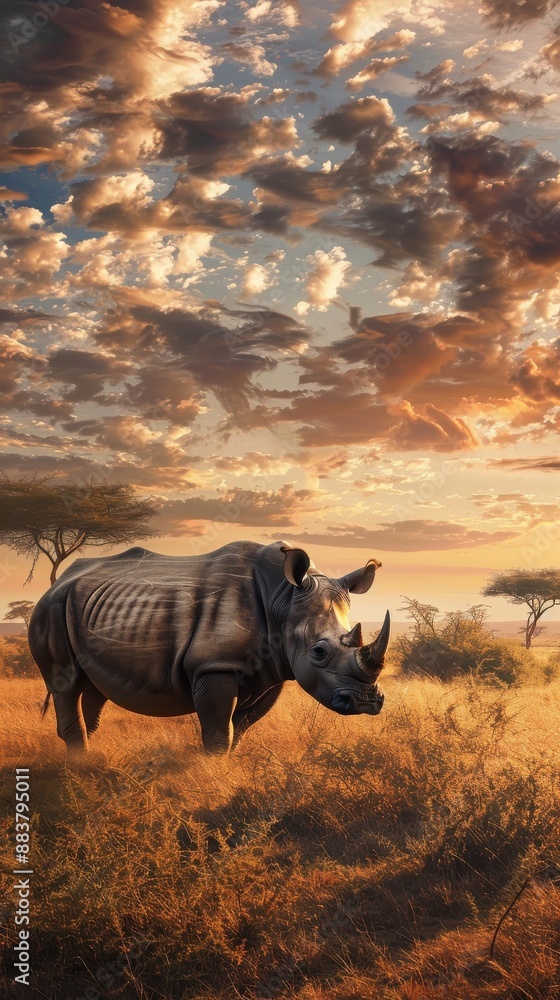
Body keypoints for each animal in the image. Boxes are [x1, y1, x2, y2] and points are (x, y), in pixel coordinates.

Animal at [28, 540, 390, 754]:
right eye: (319, 652)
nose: (366, 702)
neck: (283, 598)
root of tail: (59, 581)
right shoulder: (214, 665)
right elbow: (218, 733)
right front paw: (212, 775)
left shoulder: (272, 671)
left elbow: (239, 731)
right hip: (51, 608)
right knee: (66, 684)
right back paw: (79, 767)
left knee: (93, 688)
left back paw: (91, 760)